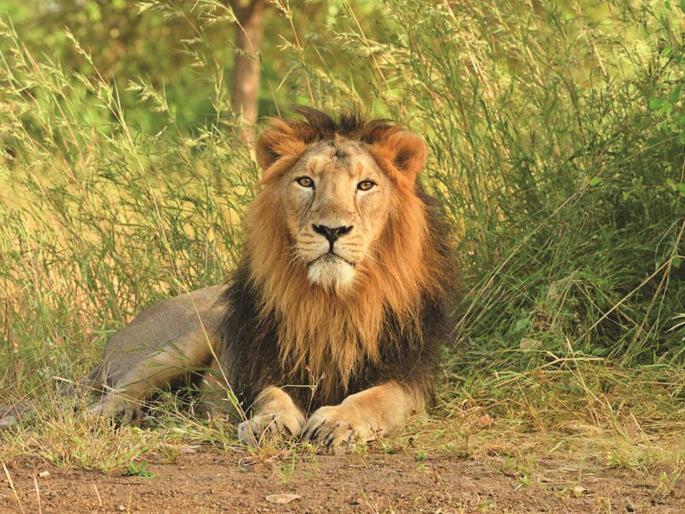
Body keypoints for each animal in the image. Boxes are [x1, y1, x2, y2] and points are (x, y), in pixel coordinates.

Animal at [87, 108, 457, 452]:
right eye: (306, 182)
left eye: (365, 185)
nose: (331, 230)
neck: (333, 301)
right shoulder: (264, 363)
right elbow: (272, 396)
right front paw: (270, 423)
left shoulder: (410, 377)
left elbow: (376, 399)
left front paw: (338, 423)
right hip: (187, 339)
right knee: (125, 387)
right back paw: (110, 414)